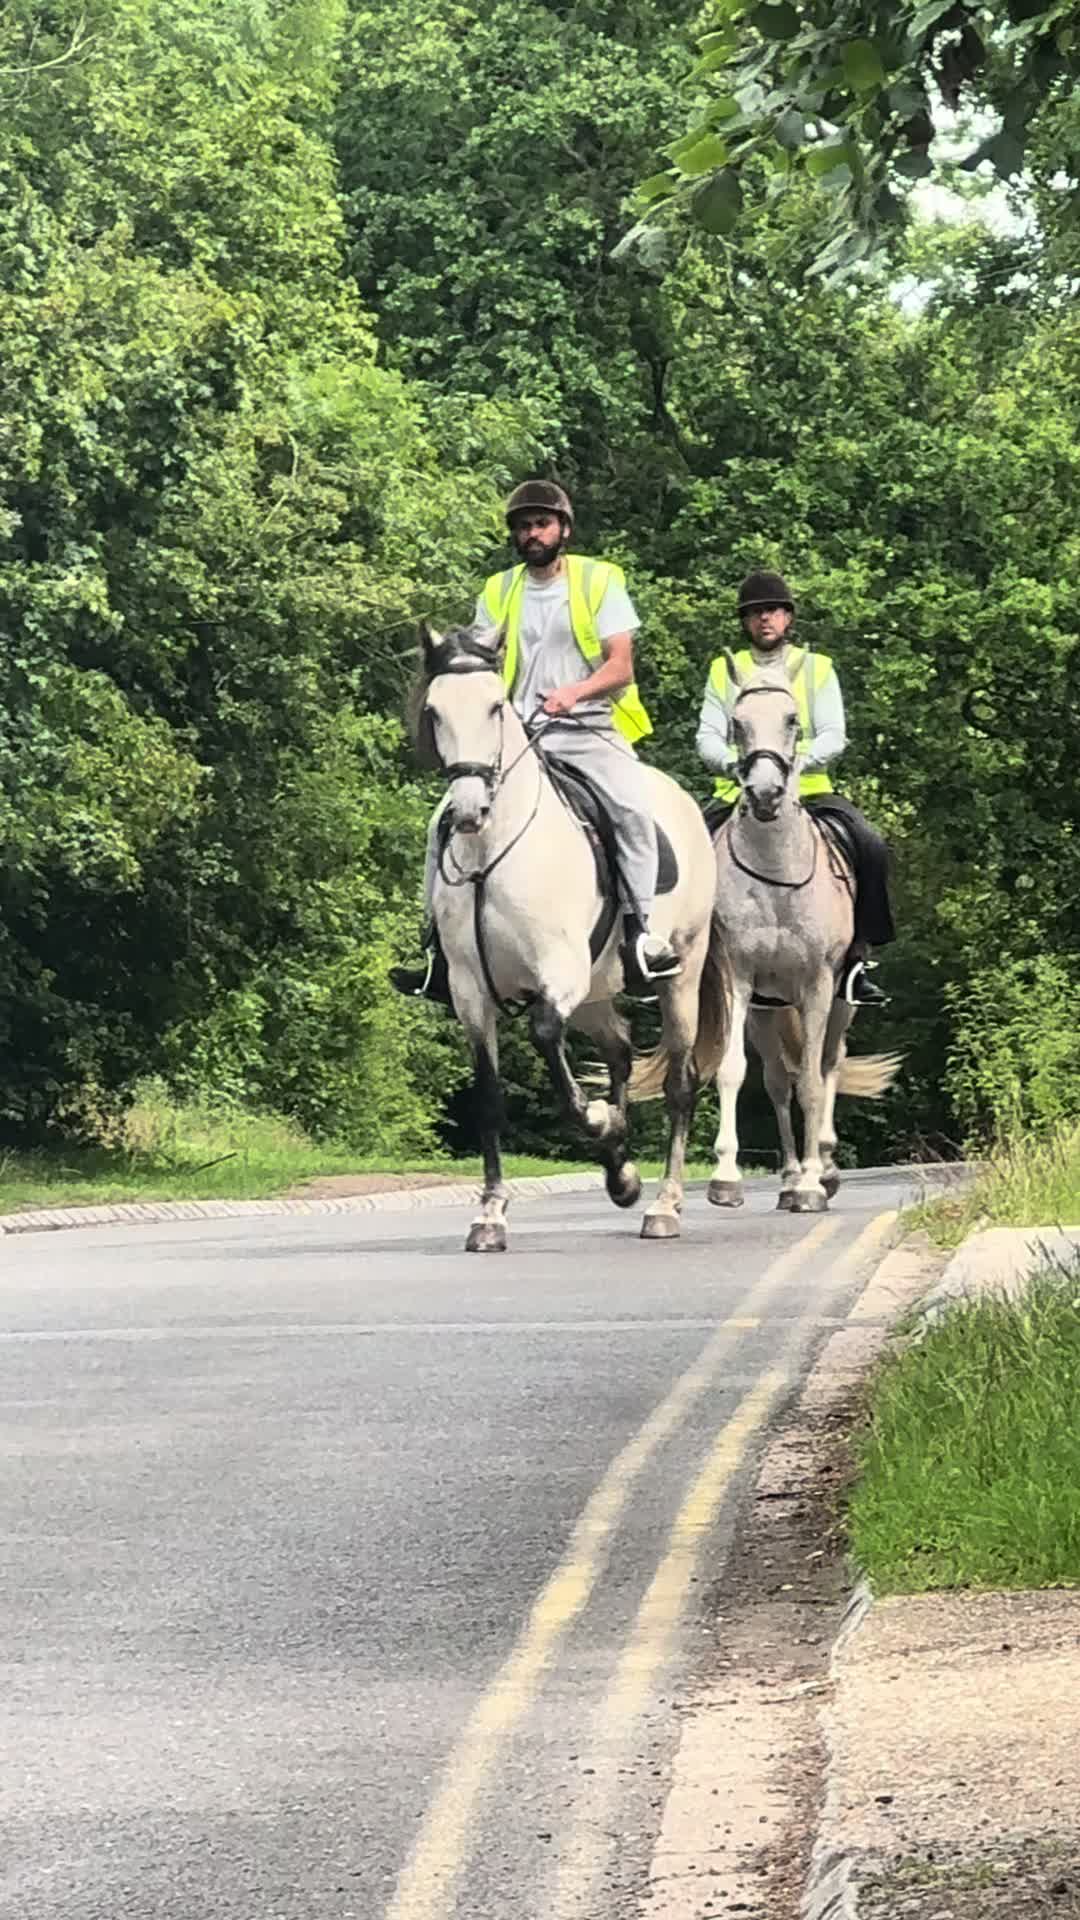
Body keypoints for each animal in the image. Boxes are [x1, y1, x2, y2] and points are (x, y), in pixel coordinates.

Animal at [411, 621, 720, 1250]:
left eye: (494, 705)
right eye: (434, 710)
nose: (468, 810)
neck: (492, 855)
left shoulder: (559, 974)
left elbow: (549, 1042)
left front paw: (599, 1121)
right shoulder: (470, 993)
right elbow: (489, 1098)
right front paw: (490, 1214)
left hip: (680, 974)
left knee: (680, 1082)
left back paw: (665, 1205)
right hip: (598, 992)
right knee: (620, 1047)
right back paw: (622, 1172)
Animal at [632, 663, 900, 1212]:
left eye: (793, 718)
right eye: (738, 722)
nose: (764, 794)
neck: (775, 871)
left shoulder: (819, 983)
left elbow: (814, 1081)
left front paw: (815, 1185)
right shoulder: (737, 977)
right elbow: (735, 1070)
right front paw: (727, 1179)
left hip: (840, 1001)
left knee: (829, 1063)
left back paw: (824, 1168)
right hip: (767, 1009)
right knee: (779, 1079)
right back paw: (791, 1176)